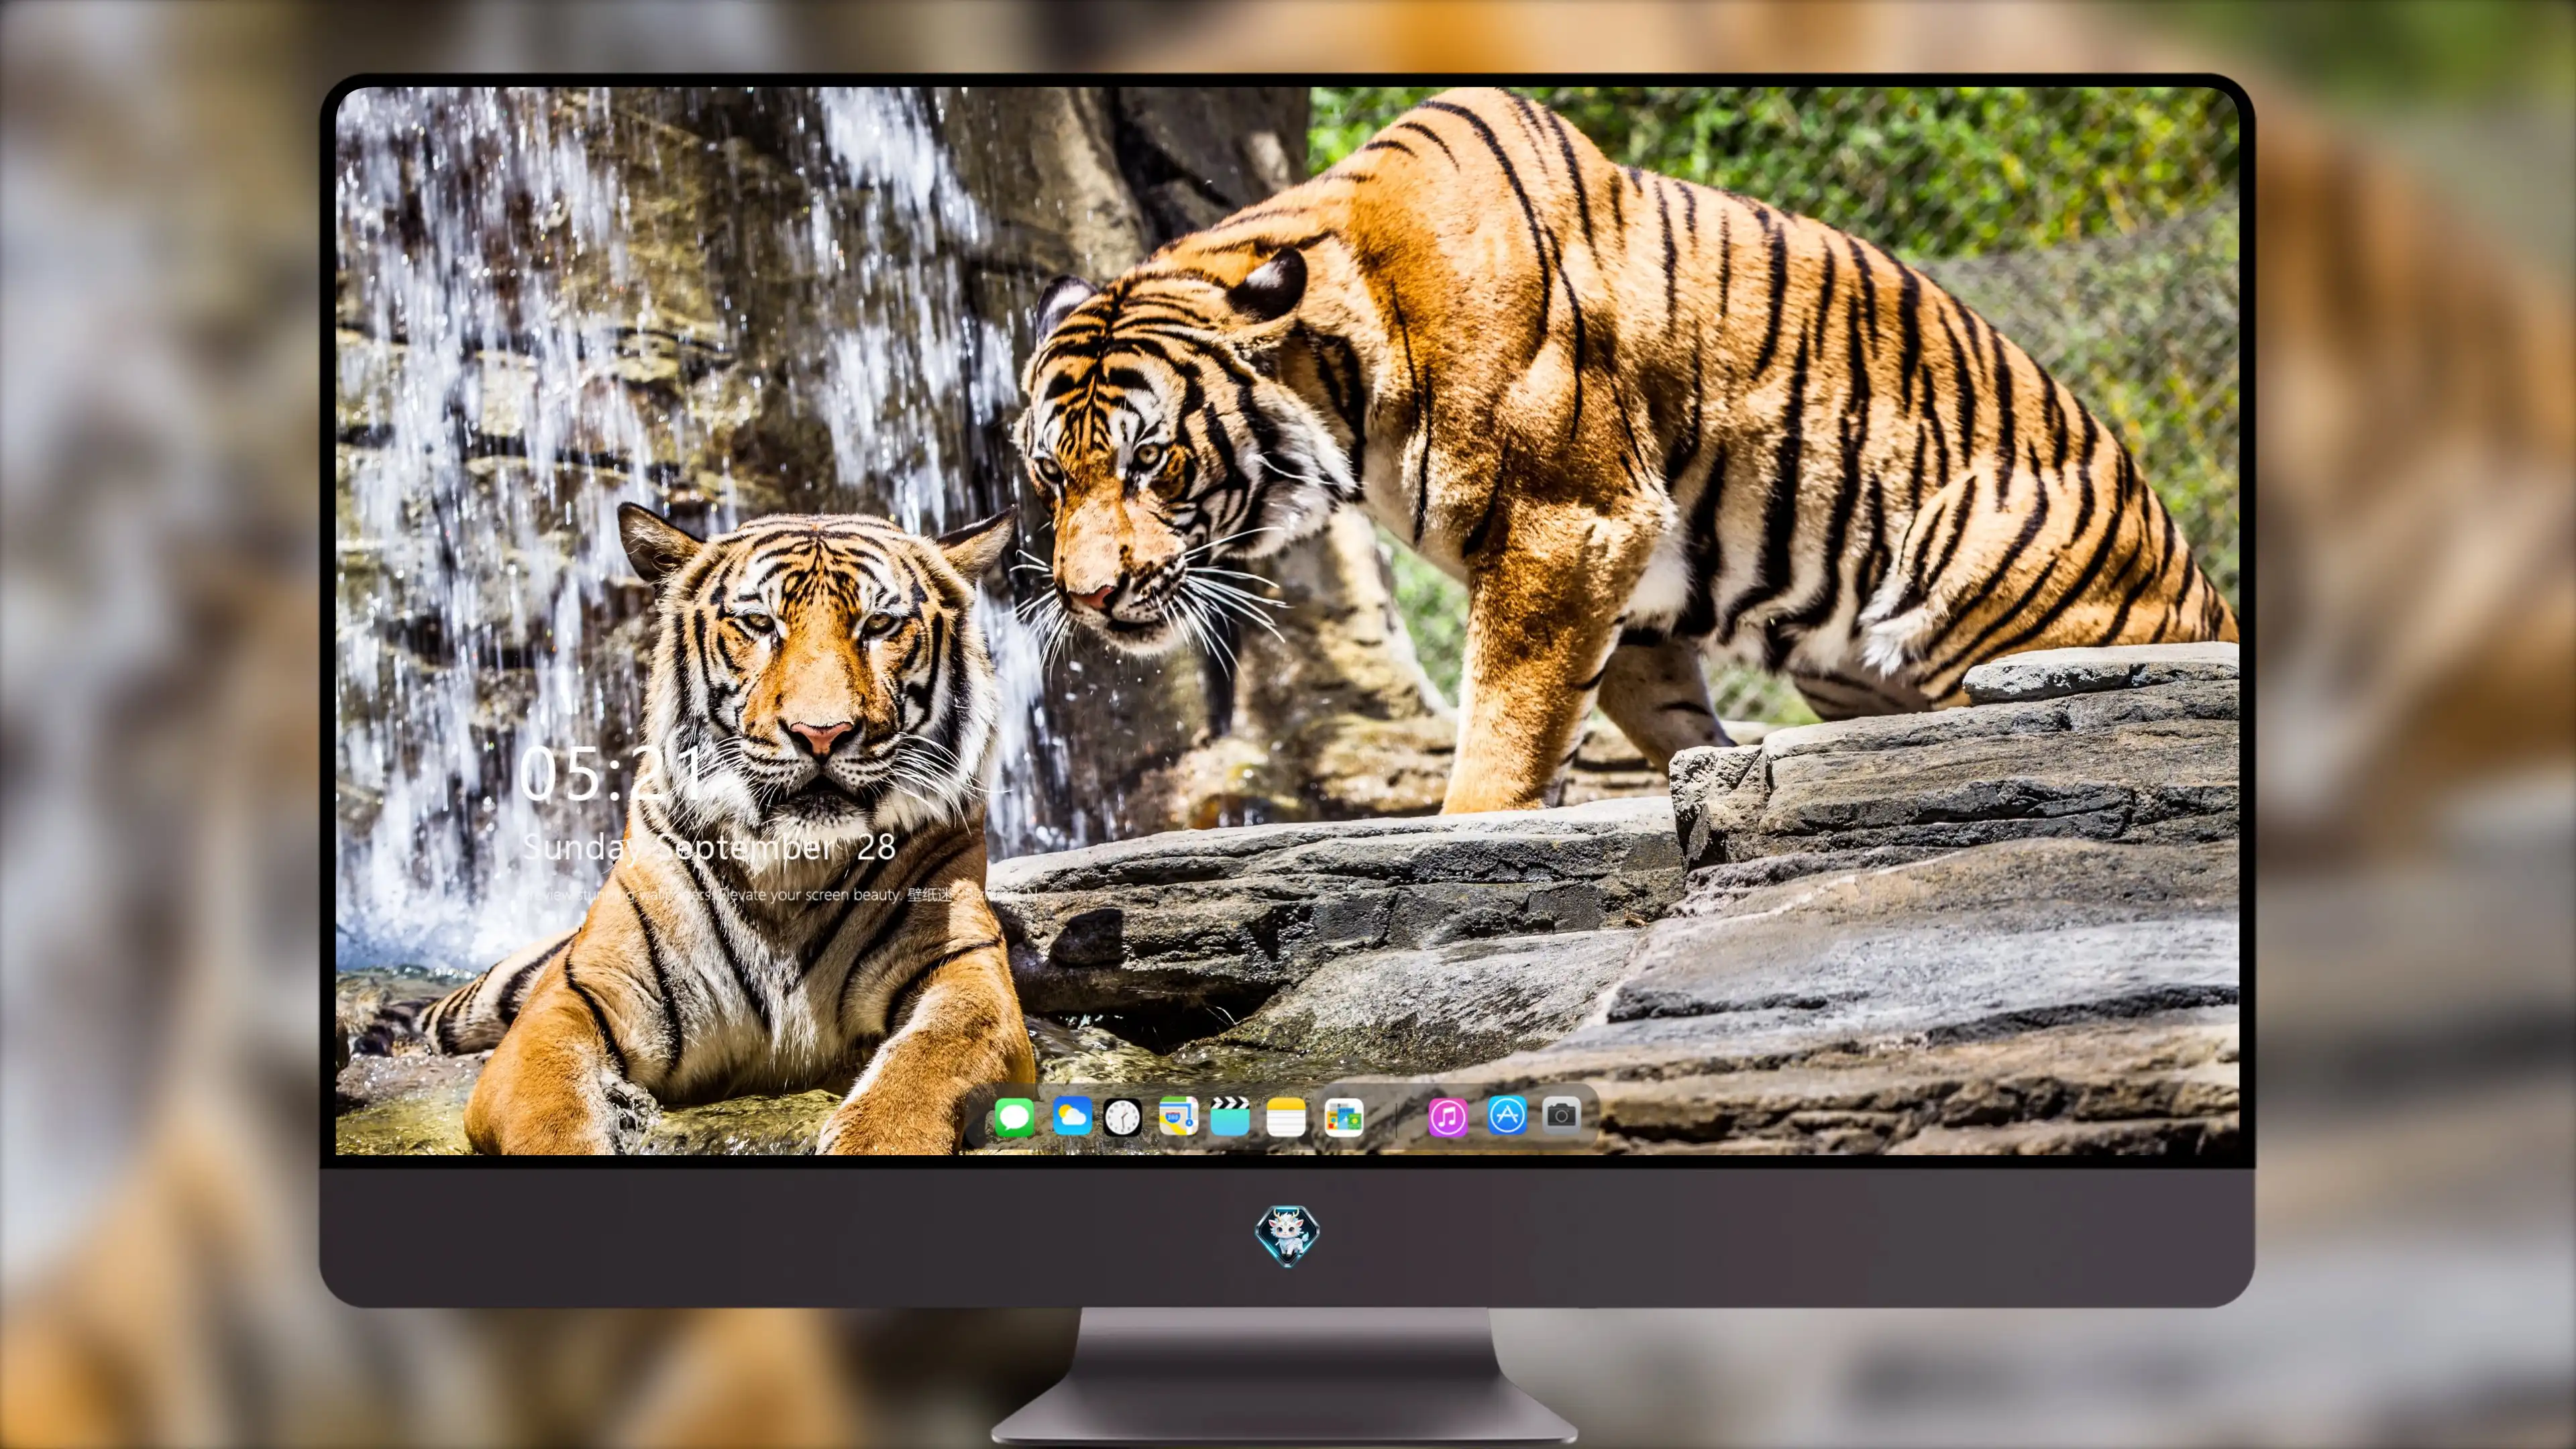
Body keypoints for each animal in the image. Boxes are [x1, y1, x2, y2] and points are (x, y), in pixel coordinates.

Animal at [412, 504, 1035, 1154]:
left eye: (880, 624)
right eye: (759, 624)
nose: (821, 734)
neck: (792, 865)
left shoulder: (964, 972)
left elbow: (924, 1066)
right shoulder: (576, 995)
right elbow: (554, 1115)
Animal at [1015, 86, 2239, 814]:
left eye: (1151, 461)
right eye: (1051, 473)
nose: (1086, 596)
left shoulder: (1569, 525)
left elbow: (1504, 733)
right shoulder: (1635, 589)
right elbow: (1638, 717)